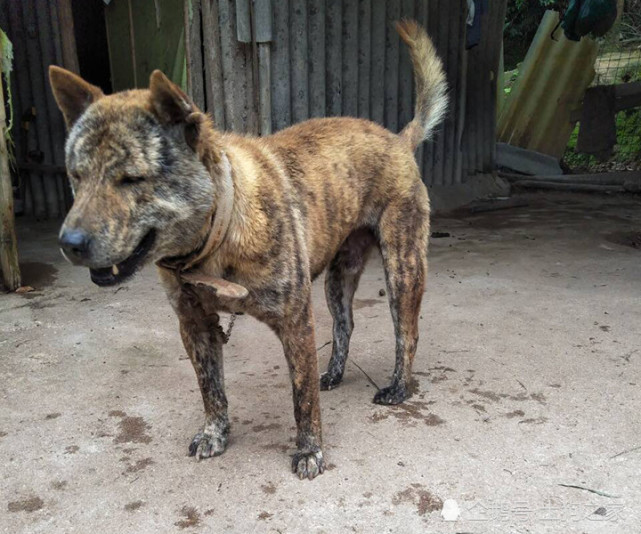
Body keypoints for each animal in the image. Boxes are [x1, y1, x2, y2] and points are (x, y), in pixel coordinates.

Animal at [50, 21, 448, 482]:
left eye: (132, 179)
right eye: (76, 176)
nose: (69, 244)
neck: (217, 236)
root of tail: (398, 140)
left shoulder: (296, 322)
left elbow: (302, 398)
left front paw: (310, 450)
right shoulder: (195, 327)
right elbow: (212, 389)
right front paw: (215, 434)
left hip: (403, 268)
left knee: (407, 331)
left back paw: (399, 387)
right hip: (337, 278)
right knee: (344, 325)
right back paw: (334, 373)